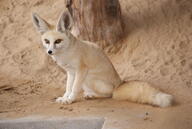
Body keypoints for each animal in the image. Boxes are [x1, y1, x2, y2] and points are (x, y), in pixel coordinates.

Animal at [31, 10, 174, 107]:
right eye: (46, 41)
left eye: (58, 41)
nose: (49, 52)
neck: (66, 53)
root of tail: (119, 84)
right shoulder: (70, 72)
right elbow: (68, 87)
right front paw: (65, 97)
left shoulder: (80, 70)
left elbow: (74, 88)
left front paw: (70, 99)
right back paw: (90, 94)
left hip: (88, 78)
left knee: (109, 95)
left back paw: (93, 96)